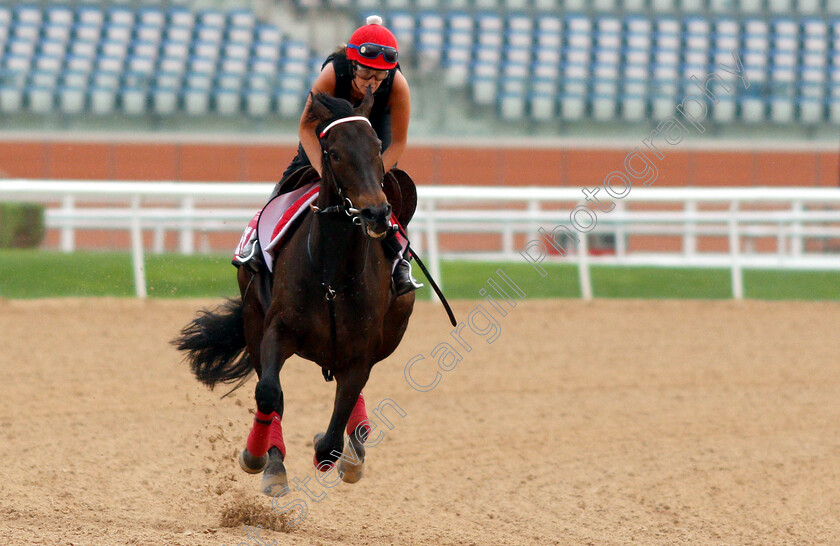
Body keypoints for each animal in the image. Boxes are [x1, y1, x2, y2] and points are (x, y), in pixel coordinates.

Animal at [172, 90, 416, 498]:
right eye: (333, 152)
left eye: (377, 148)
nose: (376, 213)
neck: (332, 274)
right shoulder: (276, 329)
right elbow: (270, 394)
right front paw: (262, 460)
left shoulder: (361, 353)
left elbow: (333, 435)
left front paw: (342, 455)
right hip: (253, 317)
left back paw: (356, 448)